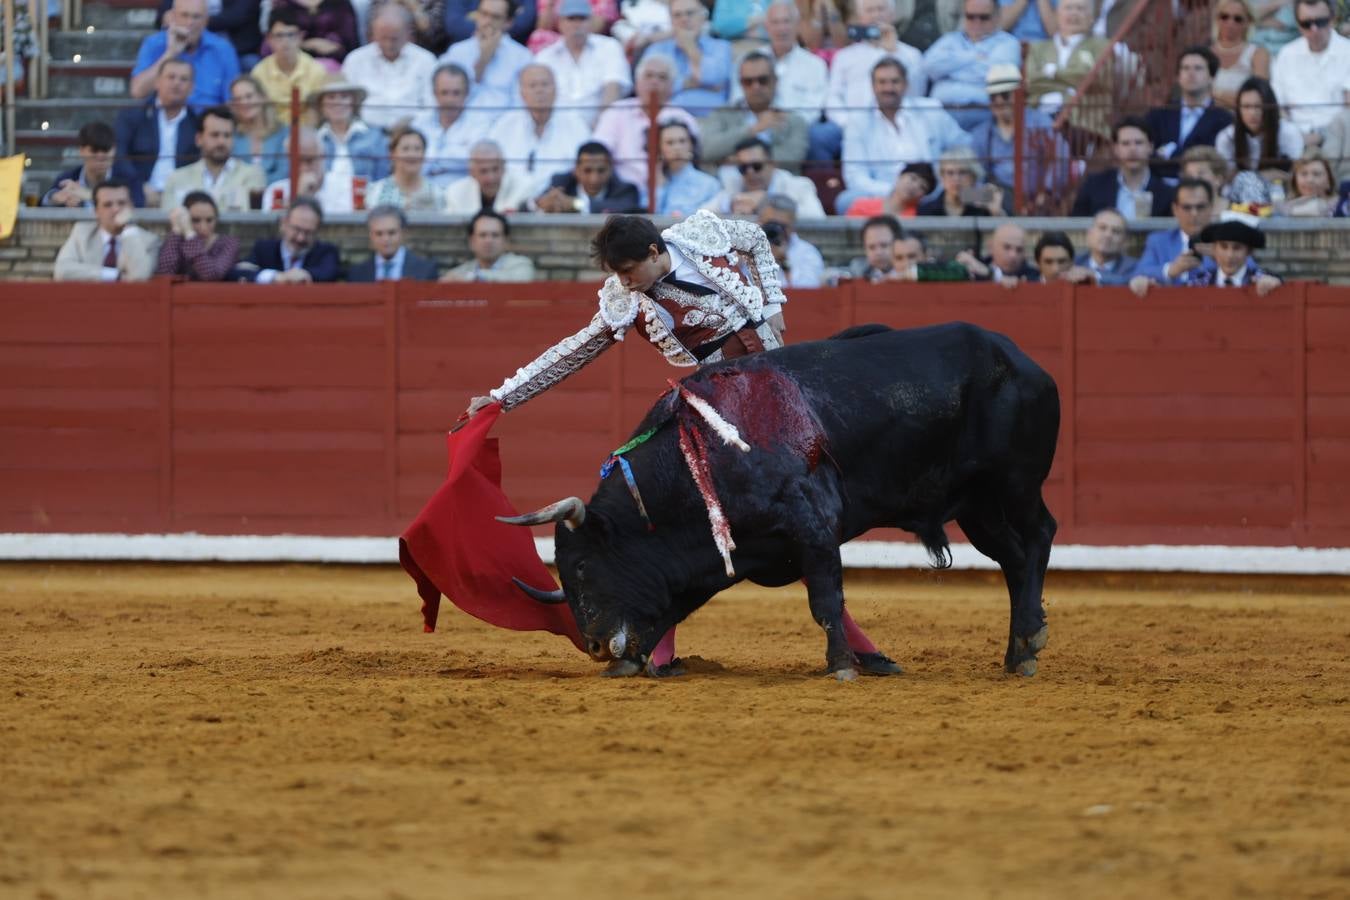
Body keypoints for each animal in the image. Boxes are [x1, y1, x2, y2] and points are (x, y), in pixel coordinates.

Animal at [502, 319, 1058, 680]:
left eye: (579, 567)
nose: (595, 646)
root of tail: (1021, 358)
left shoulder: (813, 525)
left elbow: (826, 599)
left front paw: (841, 667)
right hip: (977, 505)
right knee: (1014, 559)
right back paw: (1017, 653)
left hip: (1015, 483)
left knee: (1039, 536)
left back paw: (1029, 643)